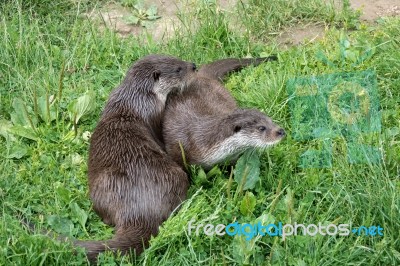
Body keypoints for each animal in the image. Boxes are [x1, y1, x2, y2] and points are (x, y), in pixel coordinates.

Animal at [75, 54, 197, 262]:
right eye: (179, 69)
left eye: (178, 59)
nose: (194, 66)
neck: (135, 98)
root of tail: (139, 213)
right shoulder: (155, 113)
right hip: (176, 176)